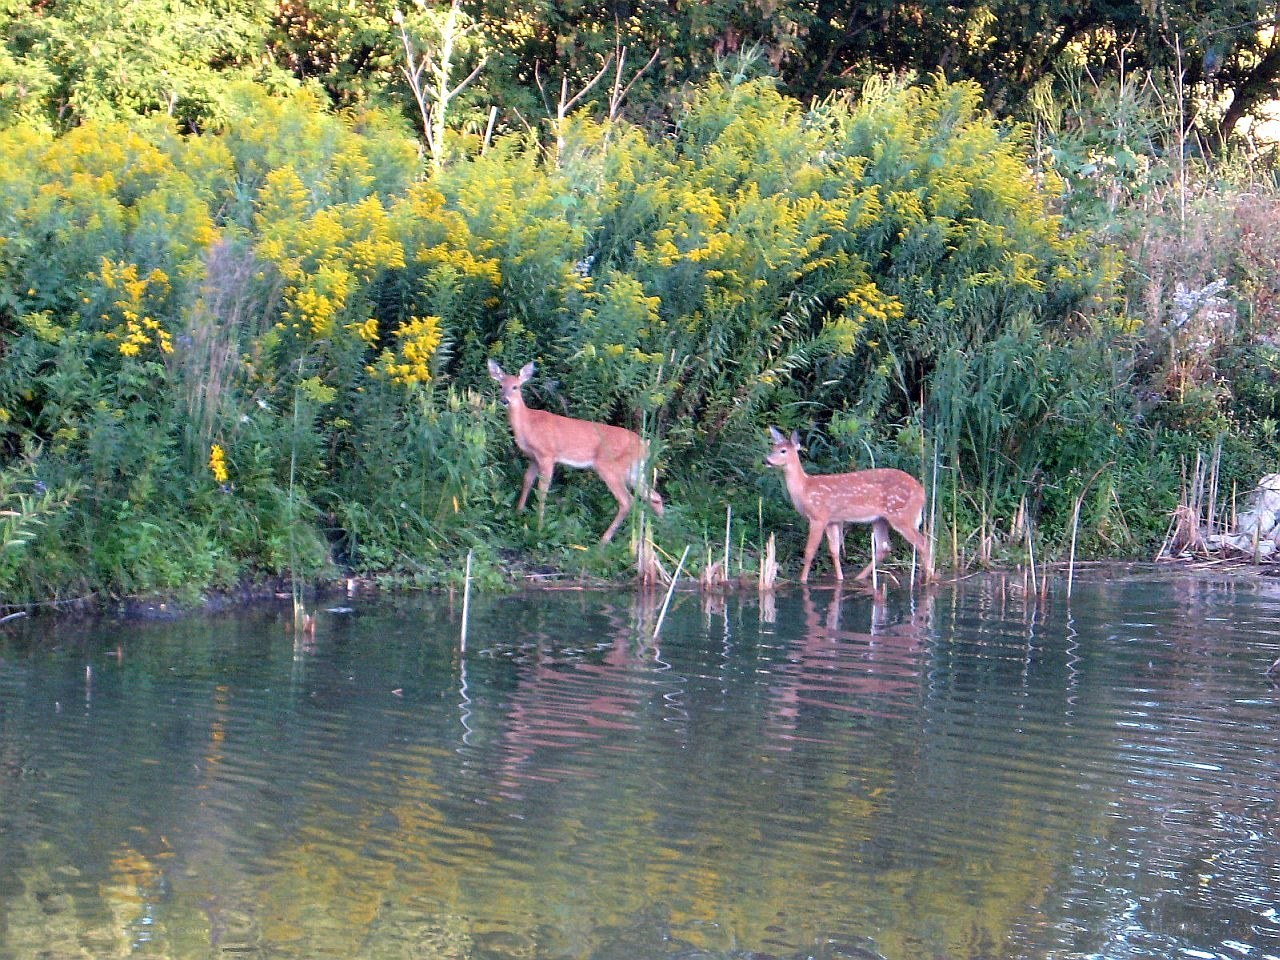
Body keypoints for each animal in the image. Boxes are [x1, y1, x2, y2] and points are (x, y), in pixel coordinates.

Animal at [488, 359, 663, 544]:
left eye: (516, 387)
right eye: (501, 385)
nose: (504, 400)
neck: (528, 424)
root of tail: (644, 446)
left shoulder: (547, 454)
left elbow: (543, 490)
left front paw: (539, 525)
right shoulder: (534, 457)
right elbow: (527, 480)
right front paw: (519, 511)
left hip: (609, 466)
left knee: (627, 501)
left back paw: (603, 541)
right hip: (634, 471)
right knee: (654, 496)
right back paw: (658, 534)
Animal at [764, 426, 932, 584]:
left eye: (783, 451)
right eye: (773, 447)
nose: (766, 460)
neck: (804, 488)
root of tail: (922, 493)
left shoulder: (818, 516)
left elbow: (809, 552)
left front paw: (802, 580)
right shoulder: (833, 520)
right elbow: (834, 551)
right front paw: (840, 579)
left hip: (902, 515)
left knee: (923, 543)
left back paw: (927, 579)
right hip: (880, 519)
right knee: (884, 547)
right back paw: (859, 577)